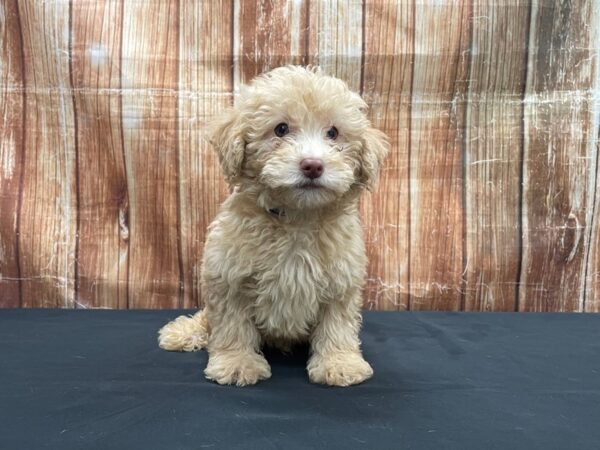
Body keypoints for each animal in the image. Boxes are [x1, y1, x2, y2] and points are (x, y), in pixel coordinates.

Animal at [157, 66, 390, 386]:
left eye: (333, 132)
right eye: (280, 129)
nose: (313, 165)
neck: (297, 218)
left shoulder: (341, 283)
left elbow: (337, 326)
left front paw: (339, 363)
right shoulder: (229, 278)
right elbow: (232, 325)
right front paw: (237, 363)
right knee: (208, 320)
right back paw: (183, 333)